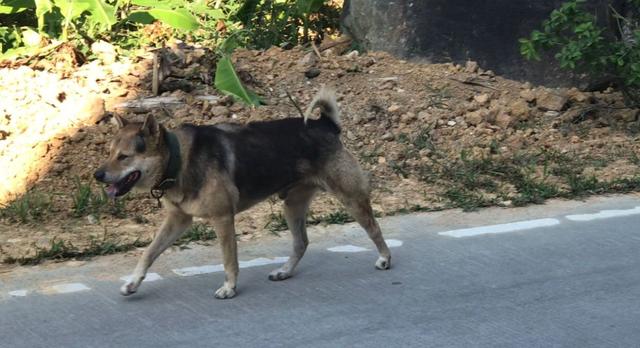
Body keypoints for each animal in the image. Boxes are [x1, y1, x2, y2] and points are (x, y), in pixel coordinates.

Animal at [94, 87, 390, 300]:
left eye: (123, 157)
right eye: (109, 153)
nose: (97, 175)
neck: (178, 160)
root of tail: (325, 125)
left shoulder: (222, 218)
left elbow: (229, 260)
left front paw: (230, 288)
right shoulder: (178, 220)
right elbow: (148, 253)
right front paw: (133, 283)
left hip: (350, 198)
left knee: (374, 229)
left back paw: (385, 258)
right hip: (292, 205)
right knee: (301, 242)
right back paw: (284, 271)